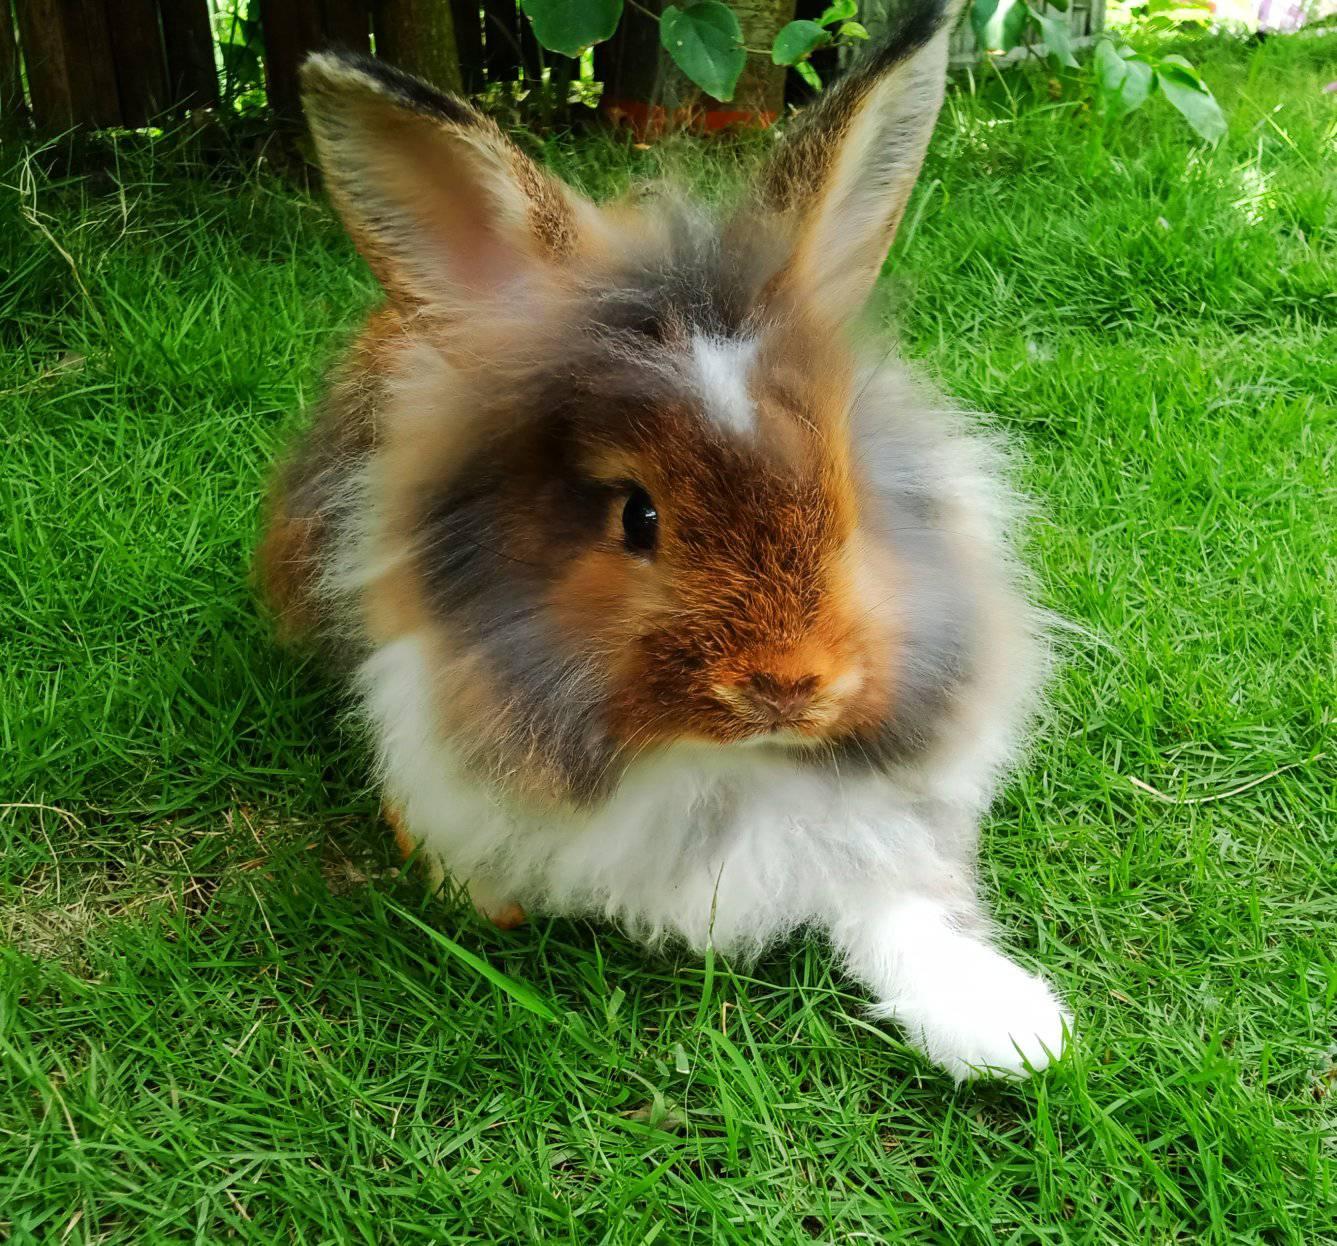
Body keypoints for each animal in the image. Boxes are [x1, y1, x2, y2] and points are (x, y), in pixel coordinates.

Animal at [256, 0, 1073, 1082]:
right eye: (636, 517)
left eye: (850, 500)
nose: (785, 686)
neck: (713, 765)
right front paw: (485, 898)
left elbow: (903, 903)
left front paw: (1011, 1030)